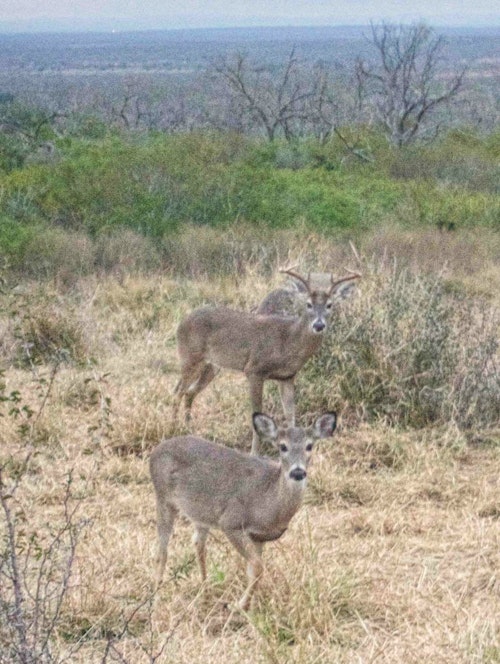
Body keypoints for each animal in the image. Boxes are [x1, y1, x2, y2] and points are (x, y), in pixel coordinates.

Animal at [150, 410, 337, 610]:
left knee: (198, 544)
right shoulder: (230, 522)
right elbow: (258, 567)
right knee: (161, 551)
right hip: (163, 497)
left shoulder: (259, 537)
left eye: (309, 445)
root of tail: (155, 452)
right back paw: (155, 600)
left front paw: (250, 607)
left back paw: (205, 591)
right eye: (282, 446)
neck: (268, 503)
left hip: (201, 513)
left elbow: (253, 570)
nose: (298, 472)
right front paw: (239, 606)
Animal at [172, 268, 359, 454]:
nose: (318, 325)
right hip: (190, 356)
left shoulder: (287, 377)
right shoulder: (254, 369)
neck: (288, 342)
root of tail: (181, 322)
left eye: (329, 305)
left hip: (211, 366)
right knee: (177, 392)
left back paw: (188, 428)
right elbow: (257, 414)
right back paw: (173, 427)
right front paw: (254, 453)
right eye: (308, 304)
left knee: (189, 392)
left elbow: (290, 415)